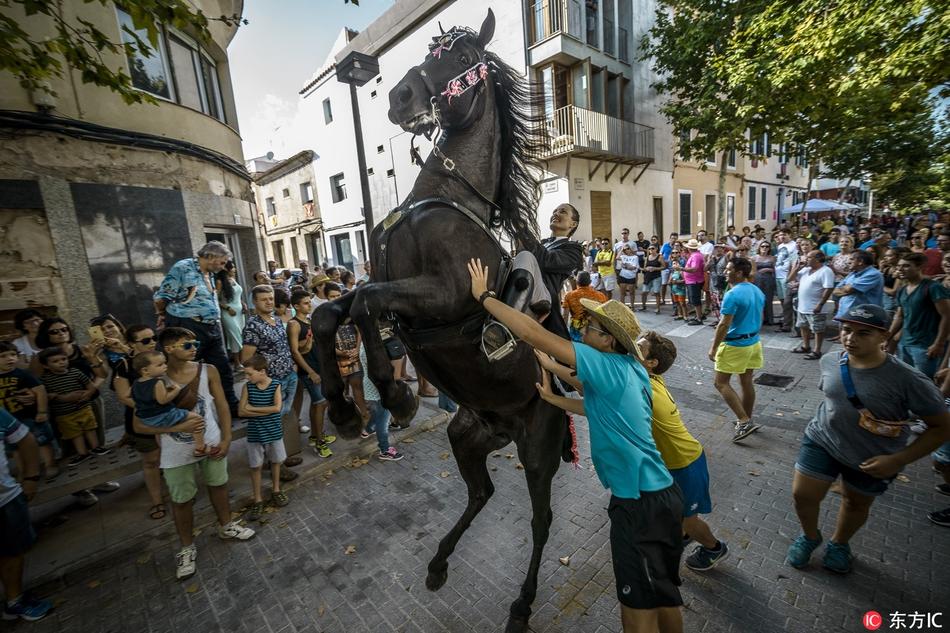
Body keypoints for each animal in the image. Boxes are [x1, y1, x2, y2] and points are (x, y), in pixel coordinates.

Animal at [314, 9, 572, 632]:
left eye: (462, 59)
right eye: (430, 52)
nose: (400, 95)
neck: (443, 199)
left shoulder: (445, 293)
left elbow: (364, 304)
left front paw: (395, 393)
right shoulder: (392, 288)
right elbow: (329, 311)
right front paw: (343, 408)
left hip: (538, 451)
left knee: (541, 521)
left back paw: (521, 605)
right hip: (467, 436)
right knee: (481, 494)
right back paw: (438, 562)